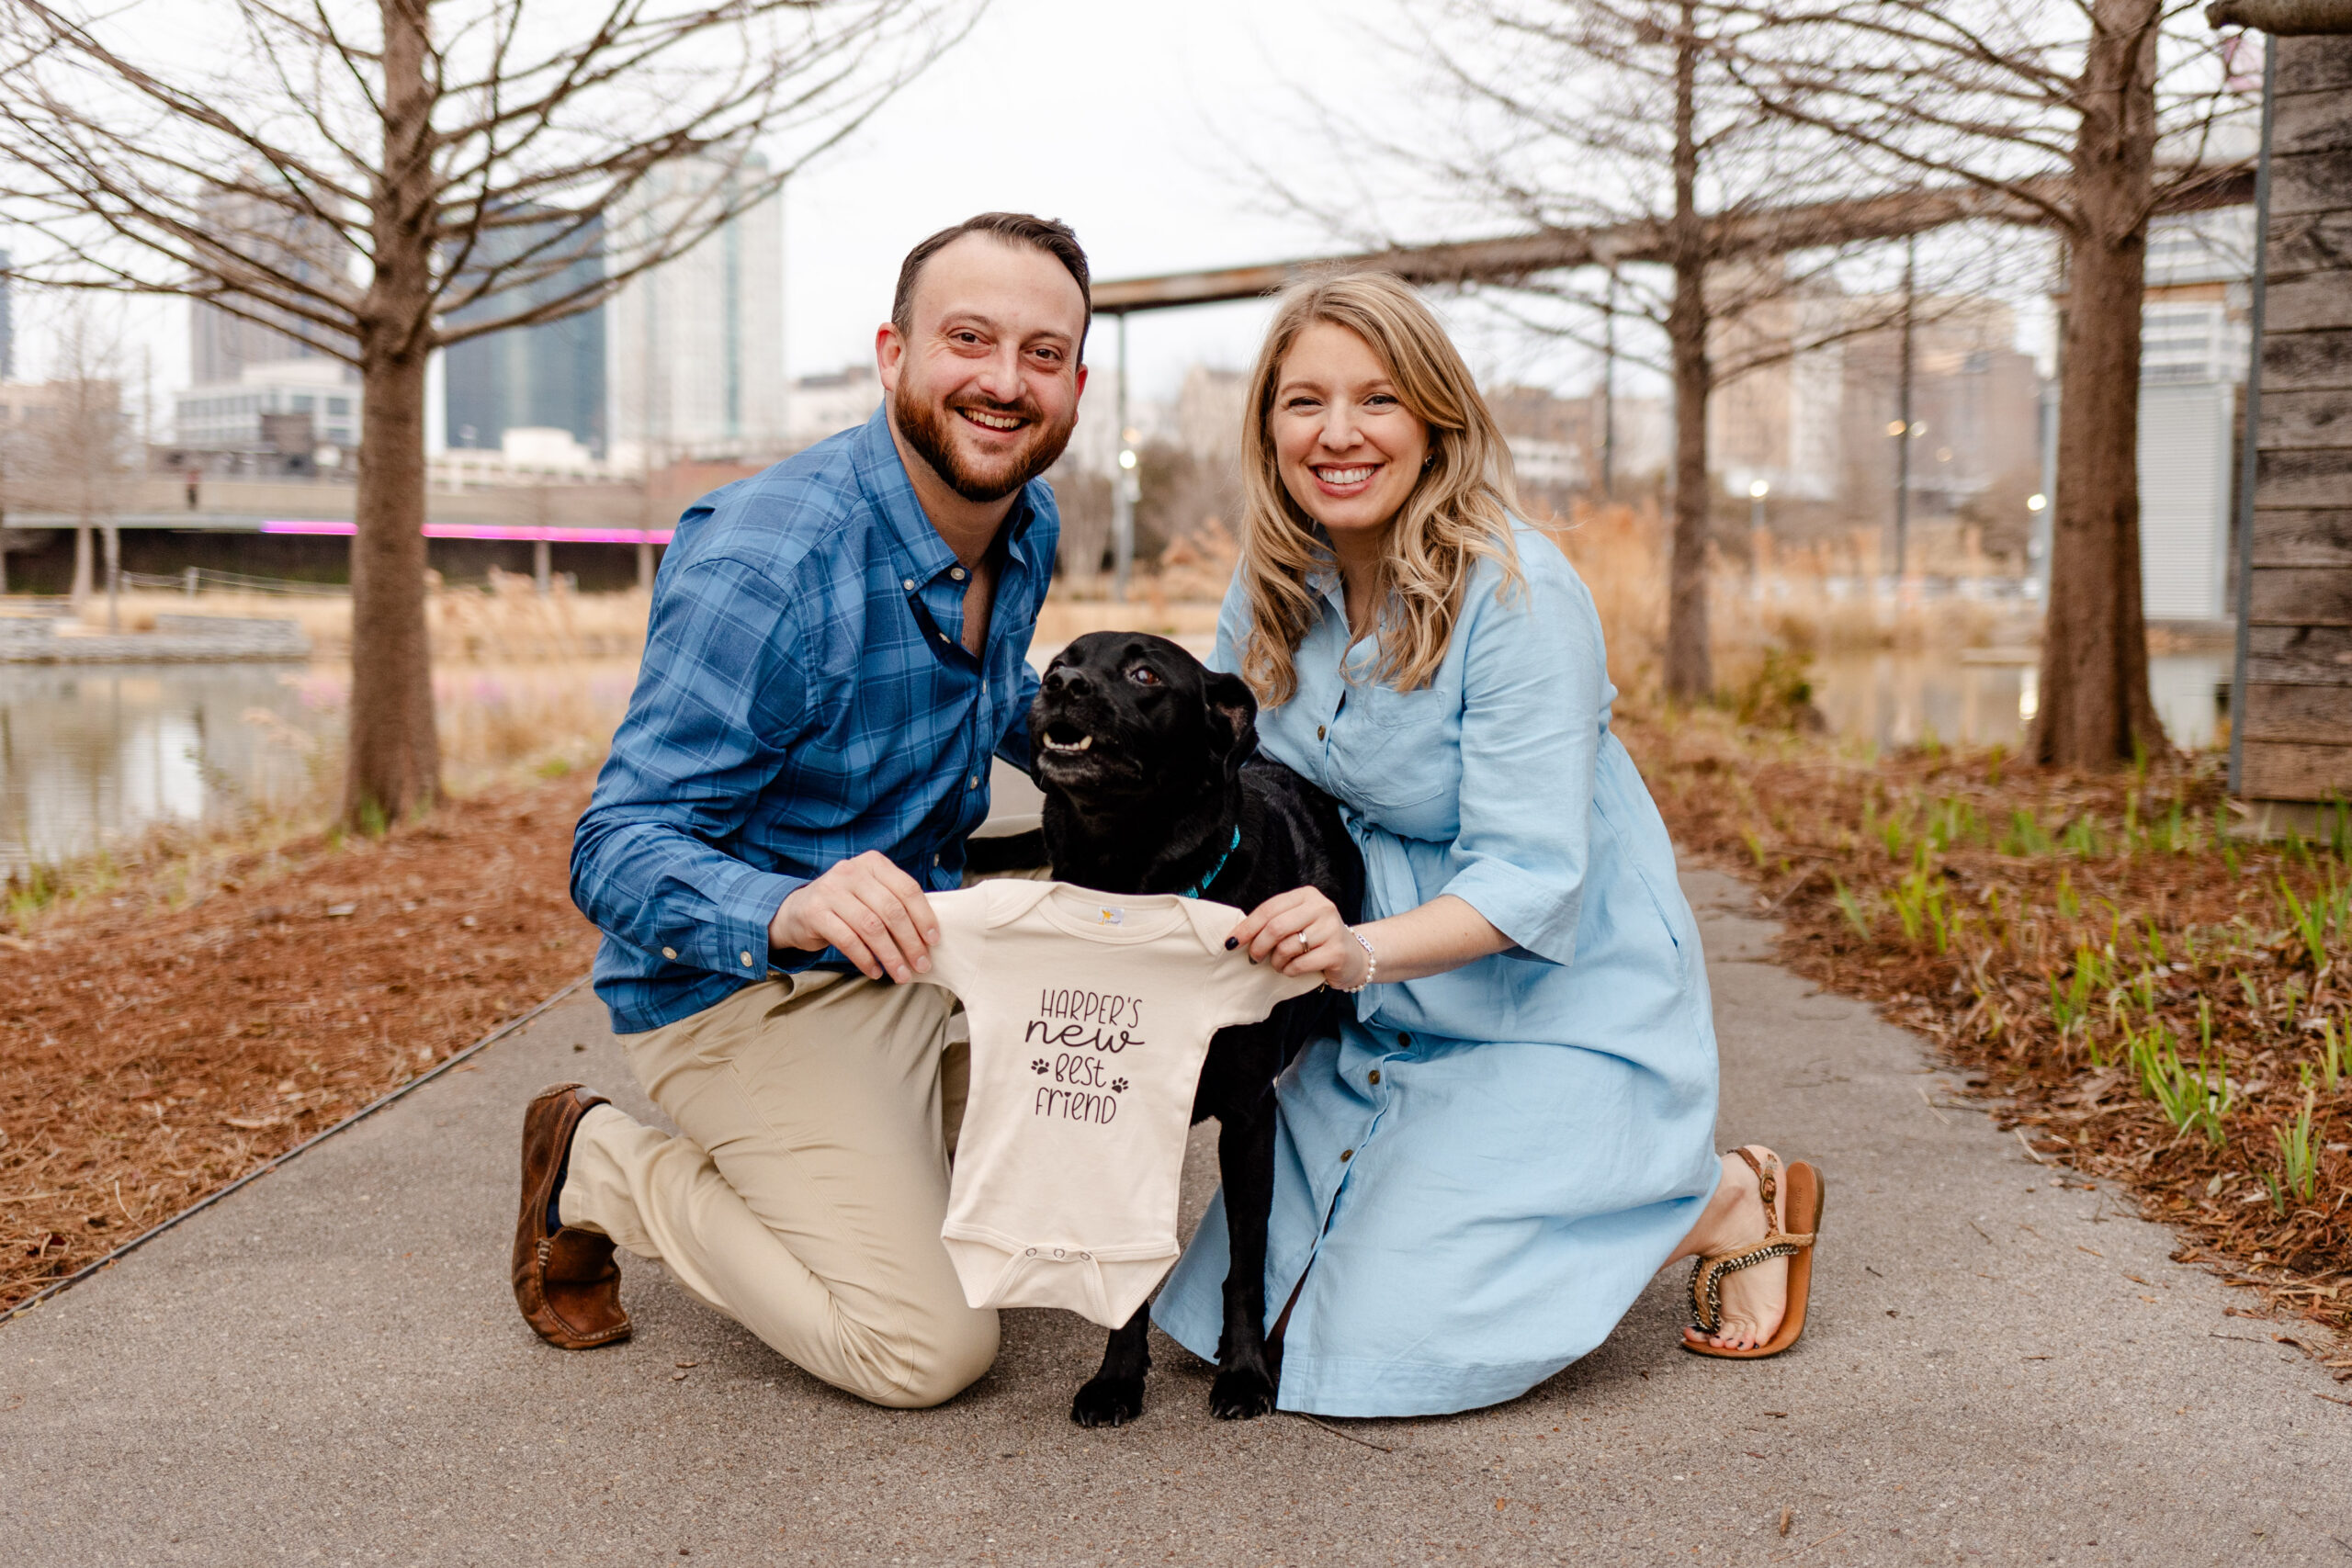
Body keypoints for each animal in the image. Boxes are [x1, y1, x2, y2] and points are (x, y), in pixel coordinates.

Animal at [1025, 629, 1374, 1429]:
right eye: (1062, 659)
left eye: (1145, 673)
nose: (1060, 683)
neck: (1132, 889)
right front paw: (1117, 1378)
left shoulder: (1249, 1118)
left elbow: (1246, 1262)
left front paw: (1244, 1374)